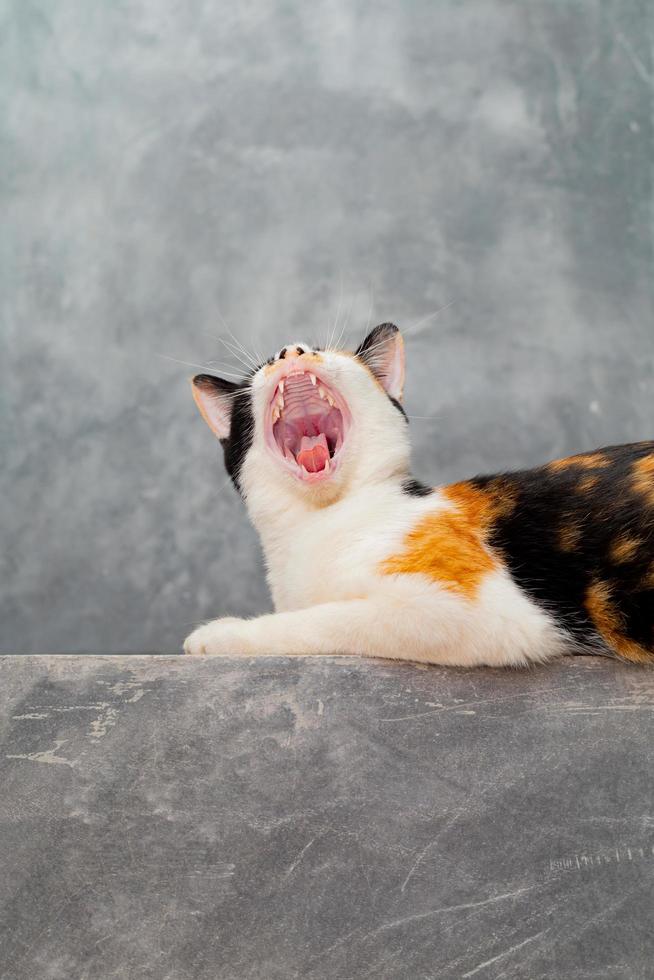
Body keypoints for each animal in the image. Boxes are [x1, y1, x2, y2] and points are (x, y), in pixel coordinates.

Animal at [186, 324, 654, 668]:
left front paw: (220, 634)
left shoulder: (461, 608)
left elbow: (318, 620)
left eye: (320, 349)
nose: (289, 352)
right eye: (265, 364)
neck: (319, 522)